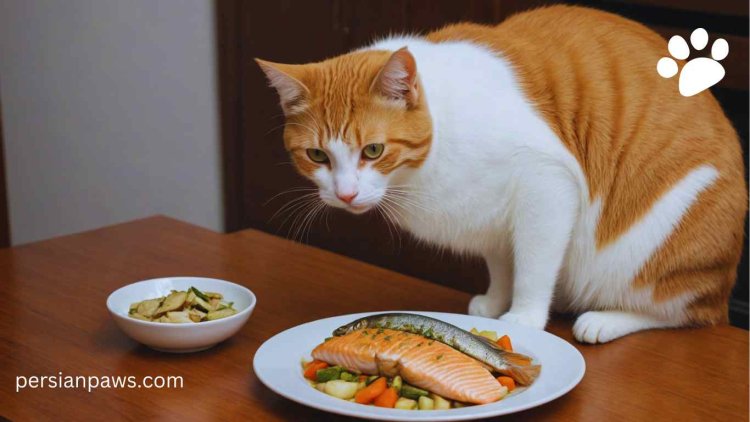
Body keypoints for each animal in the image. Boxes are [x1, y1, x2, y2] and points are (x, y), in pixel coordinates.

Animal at [258, 5, 748, 342]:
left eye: (373, 151)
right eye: (317, 155)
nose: (345, 195)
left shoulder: (546, 184)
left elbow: (532, 266)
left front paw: (524, 316)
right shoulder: (490, 212)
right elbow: (501, 263)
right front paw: (495, 301)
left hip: (655, 242)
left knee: (680, 310)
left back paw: (604, 320)